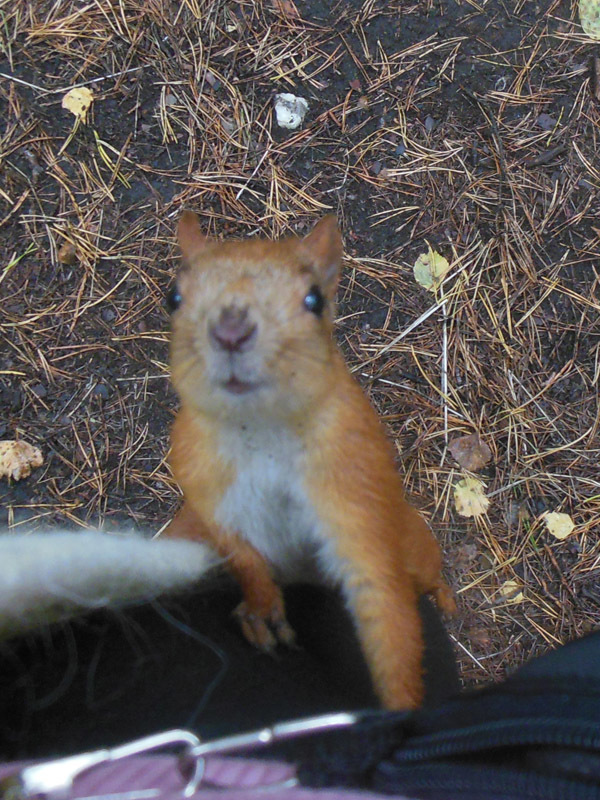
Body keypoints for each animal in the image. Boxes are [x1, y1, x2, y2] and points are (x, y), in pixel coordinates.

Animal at [164, 212, 454, 712]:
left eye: (315, 299)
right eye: (174, 298)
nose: (231, 332)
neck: (260, 430)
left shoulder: (353, 490)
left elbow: (385, 605)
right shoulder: (206, 488)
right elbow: (240, 554)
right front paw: (260, 609)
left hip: (414, 540)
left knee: (427, 575)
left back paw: (446, 598)